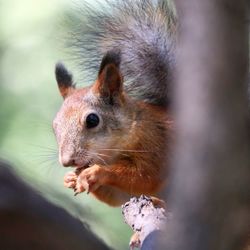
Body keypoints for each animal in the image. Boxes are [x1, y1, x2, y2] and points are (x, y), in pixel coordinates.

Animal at [53, 0, 176, 207]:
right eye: (54, 126)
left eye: (92, 120)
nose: (67, 161)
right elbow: (115, 196)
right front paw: (70, 178)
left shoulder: (156, 143)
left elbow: (144, 176)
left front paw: (96, 172)